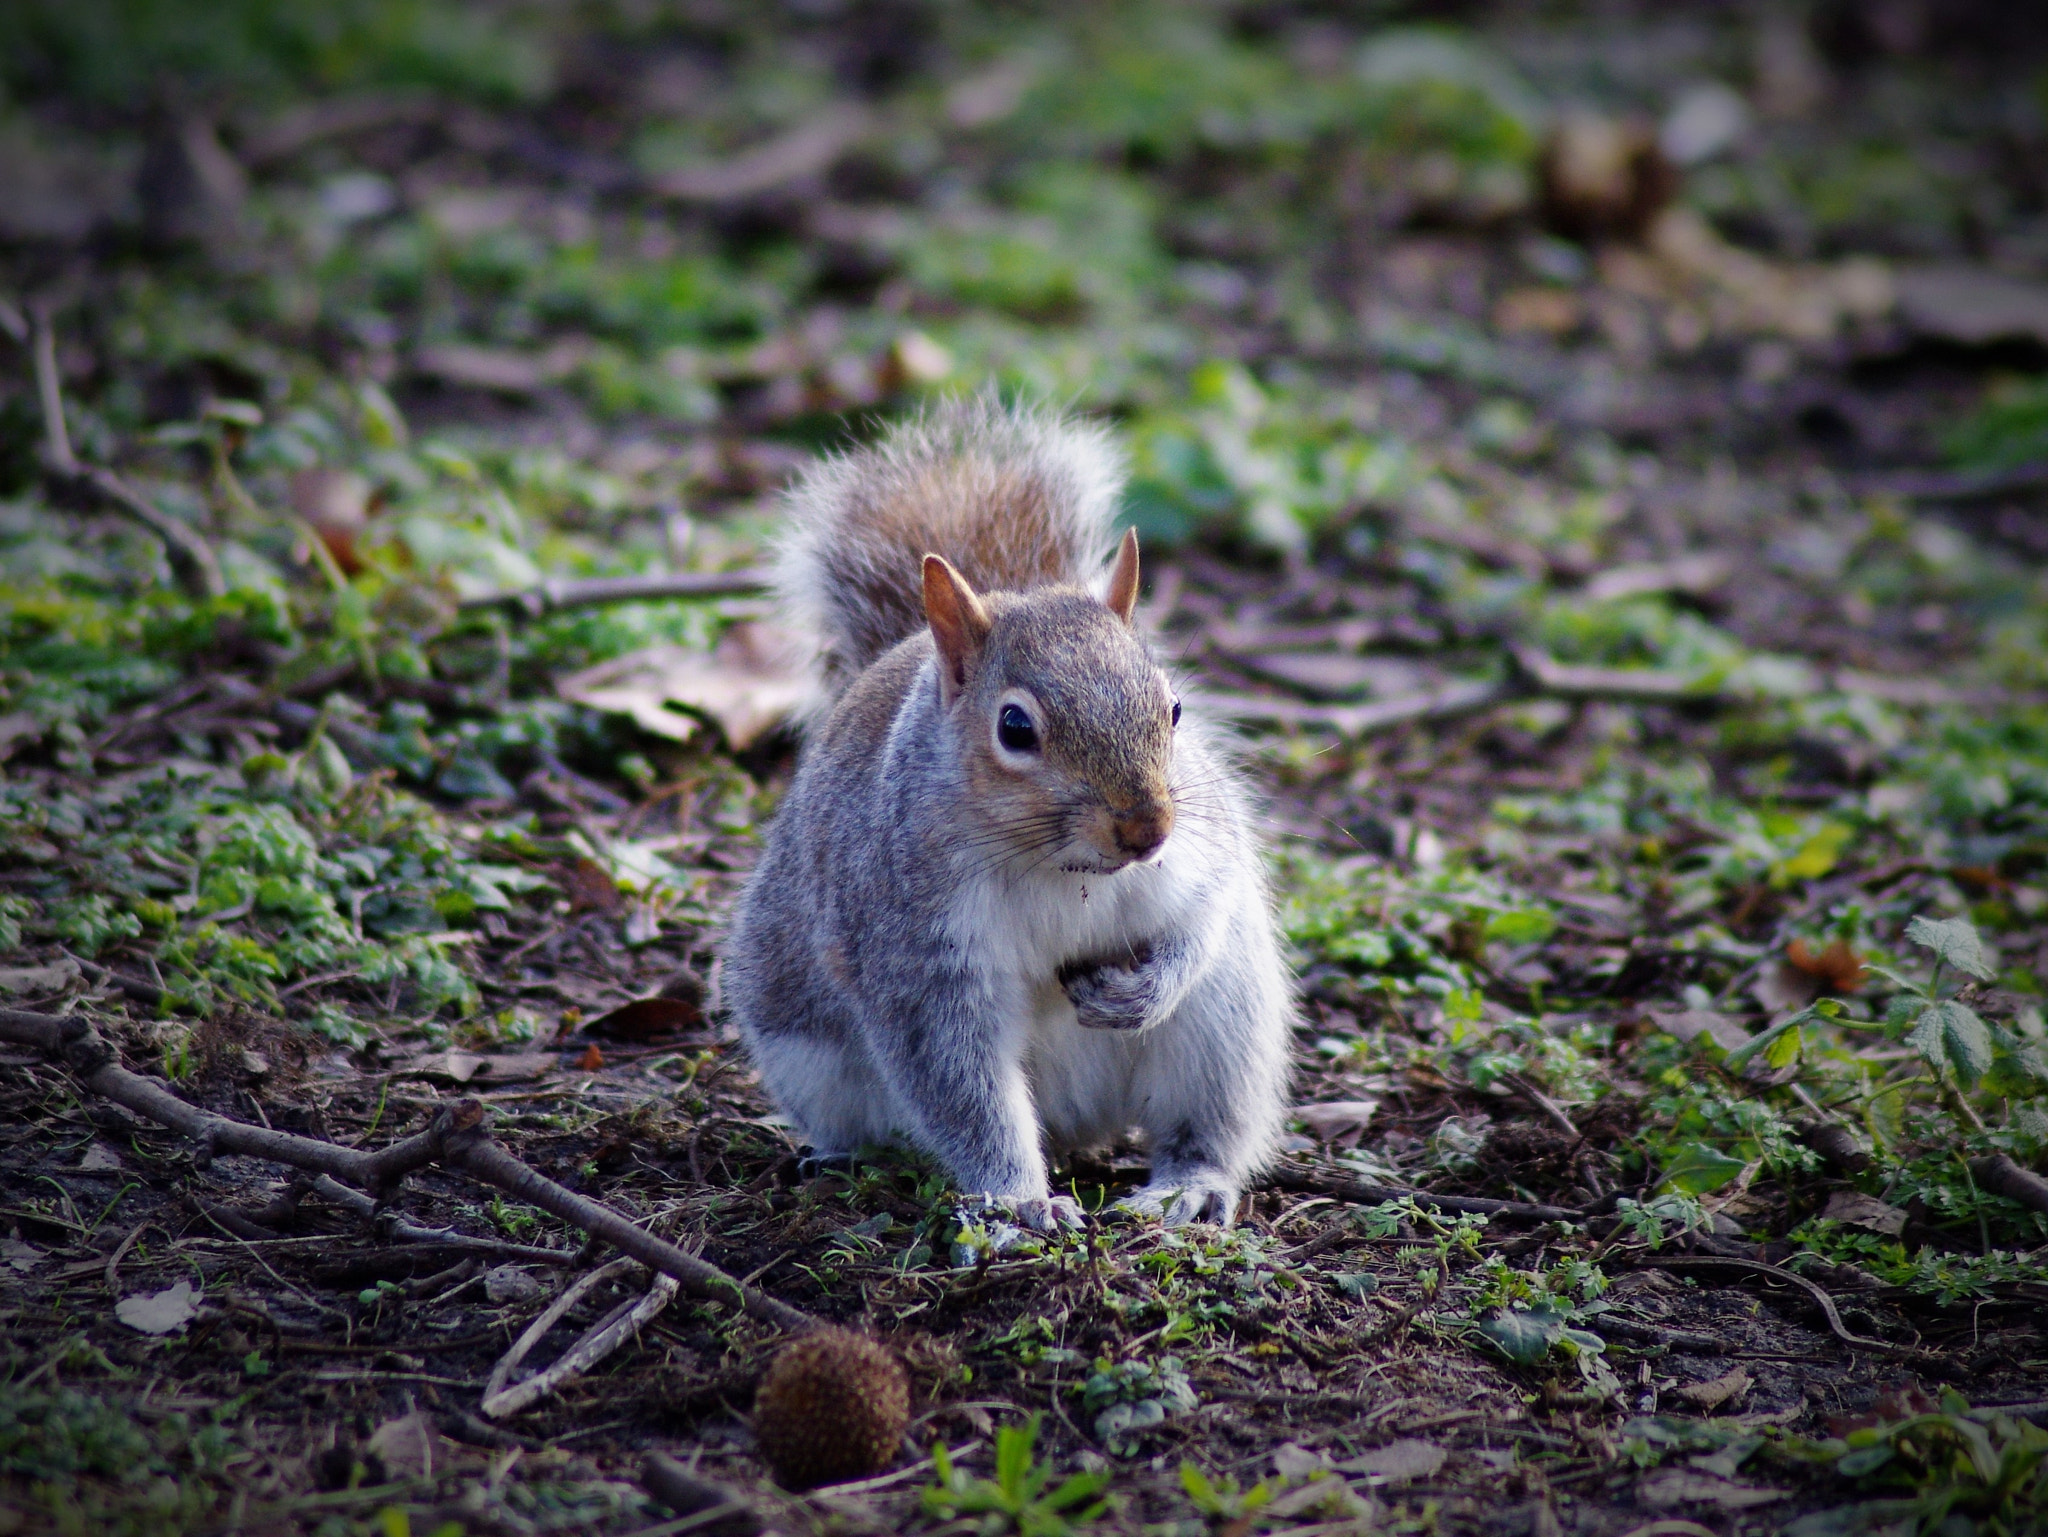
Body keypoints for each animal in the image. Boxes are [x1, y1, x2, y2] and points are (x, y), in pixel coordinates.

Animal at [729, 403, 1286, 1237]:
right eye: (1015, 728)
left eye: (1175, 707)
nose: (1147, 829)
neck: (1062, 870)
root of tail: (1077, 1118)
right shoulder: (918, 950)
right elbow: (964, 1087)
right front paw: (1019, 1200)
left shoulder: (1202, 849)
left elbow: (1203, 913)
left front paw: (1145, 990)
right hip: (813, 1058)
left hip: (1227, 1025)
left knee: (1204, 1117)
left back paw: (1189, 1184)